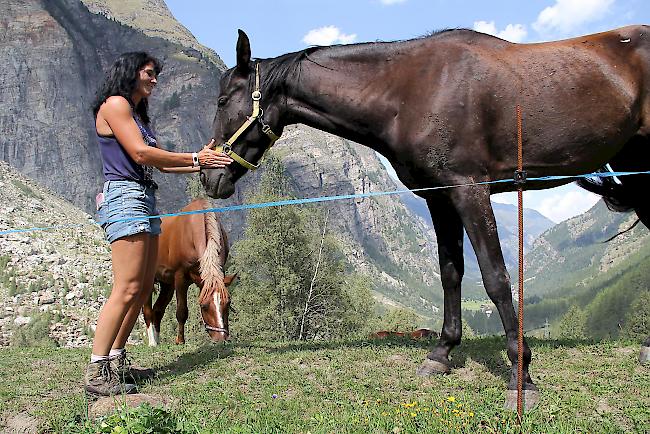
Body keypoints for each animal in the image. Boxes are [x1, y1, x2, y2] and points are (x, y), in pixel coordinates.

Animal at [143, 200, 234, 346]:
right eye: (204, 306)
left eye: (228, 303)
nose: (221, 339)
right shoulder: (180, 277)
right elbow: (181, 311)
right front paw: (180, 340)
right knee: (147, 311)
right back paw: (152, 342)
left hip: (167, 284)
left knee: (157, 310)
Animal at [201, 25, 648, 396]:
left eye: (223, 100)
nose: (209, 176)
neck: (414, 89)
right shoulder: (440, 196)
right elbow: (451, 273)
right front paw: (442, 354)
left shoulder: (470, 191)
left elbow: (496, 278)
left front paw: (521, 373)